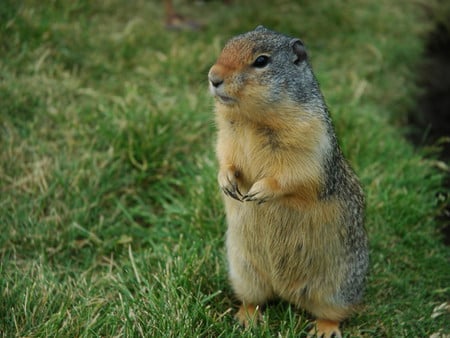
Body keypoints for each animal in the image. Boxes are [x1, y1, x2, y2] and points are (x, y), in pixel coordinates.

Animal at [207, 27, 370, 338]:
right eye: (225, 46)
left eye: (261, 61)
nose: (213, 77)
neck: (250, 120)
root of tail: (286, 292)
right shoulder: (226, 136)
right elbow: (225, 156)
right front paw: (227, 181)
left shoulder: (310, 138)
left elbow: (295, 174)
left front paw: (259, 191)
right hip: (244, 272)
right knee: (255, 299)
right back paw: (246, 317)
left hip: (339, 287)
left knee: (335, 312)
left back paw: (324, 329)